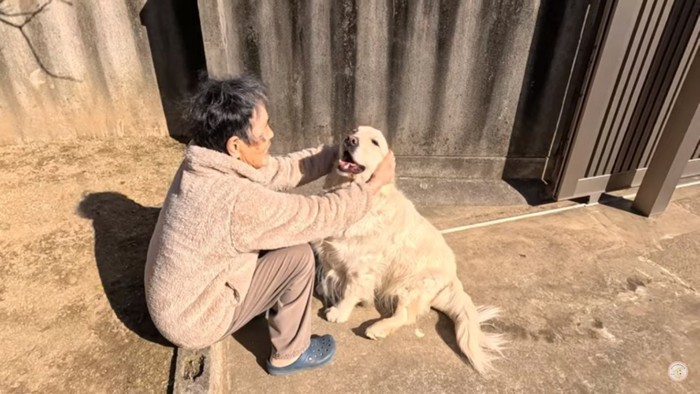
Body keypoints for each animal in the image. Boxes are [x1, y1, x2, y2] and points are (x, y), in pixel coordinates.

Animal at [314, 127, 506, 376]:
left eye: (375, 142)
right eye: (354, 131)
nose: (350, 140)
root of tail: (454, 279)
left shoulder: (361, 266)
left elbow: (349, 291)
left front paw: (338, 312)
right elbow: (328, 269)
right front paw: (321, 287)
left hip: (411, 284)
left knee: (405, 315)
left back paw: (378, 328)